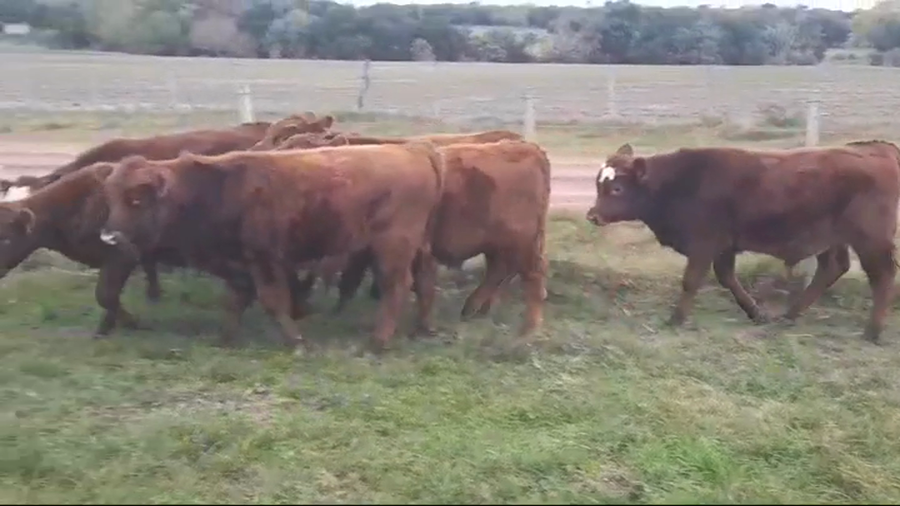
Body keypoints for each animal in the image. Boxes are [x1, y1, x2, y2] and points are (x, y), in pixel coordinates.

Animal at [98, 142, 446, 353]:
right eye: (110, 197)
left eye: (136, 199)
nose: (110, 237)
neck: (212, 188)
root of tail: (413, 148)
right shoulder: (238, 264)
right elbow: (235, 301)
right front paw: (225, 339)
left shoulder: (263, 261)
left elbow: (272, 300)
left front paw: (297, 342)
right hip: (418, 247)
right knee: (425, 282)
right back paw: (424, 329)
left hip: (392, 248)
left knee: (396, 286)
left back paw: (378, 342)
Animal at [585, 142, 900, 342]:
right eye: (599, 184)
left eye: (617, 188)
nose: (593, 215)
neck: (681, 181)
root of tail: (877, 149)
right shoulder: (725, 247)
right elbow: (727, 278)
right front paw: (756, 313)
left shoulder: (704, 244)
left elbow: (691, 281)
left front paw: (676, 318)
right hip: (831, 239)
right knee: (833, 268)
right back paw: (790, 315)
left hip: (870, 240)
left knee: (882, 276)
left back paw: (872, 331)